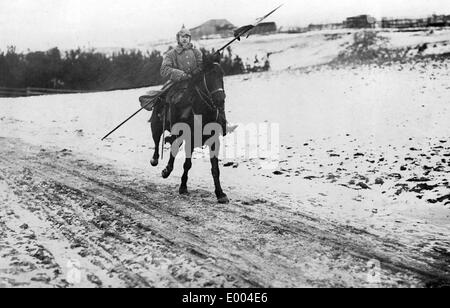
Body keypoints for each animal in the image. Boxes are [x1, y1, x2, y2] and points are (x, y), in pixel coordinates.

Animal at [149, 54, 230, 205]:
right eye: (210, 75)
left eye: (222, 74)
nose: (220, 99)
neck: (203, 112)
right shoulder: (190, 140)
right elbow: (187, 164)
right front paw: (183, 187)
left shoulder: (214, 141)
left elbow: (215, 169)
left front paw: (220, 194)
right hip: (156, 126)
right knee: (157, 142)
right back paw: (155, 160)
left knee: (173, 148)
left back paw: (167, 170)